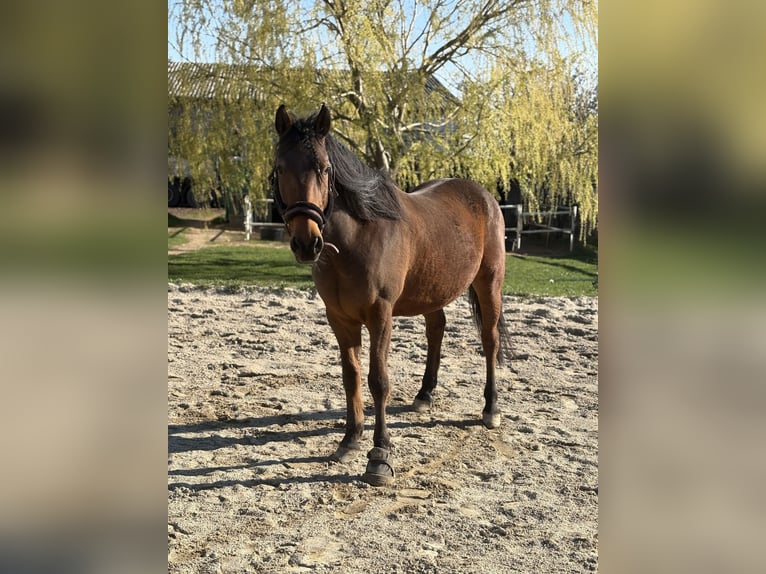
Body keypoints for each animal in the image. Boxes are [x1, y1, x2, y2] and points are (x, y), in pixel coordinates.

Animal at [271, 103, 511, 486]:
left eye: (324, 168)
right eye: (280, 168)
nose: (307, 243)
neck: (357, 238)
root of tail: (483, 195)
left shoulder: (380, 315)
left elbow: (378, 381)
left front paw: (380, 455)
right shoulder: (339, 319)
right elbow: (351, 376)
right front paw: (350, 440)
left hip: (489, 285)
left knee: (490, 341)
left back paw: (491, 408)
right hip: (433, 291)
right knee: (436, 329)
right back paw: (425, 395)